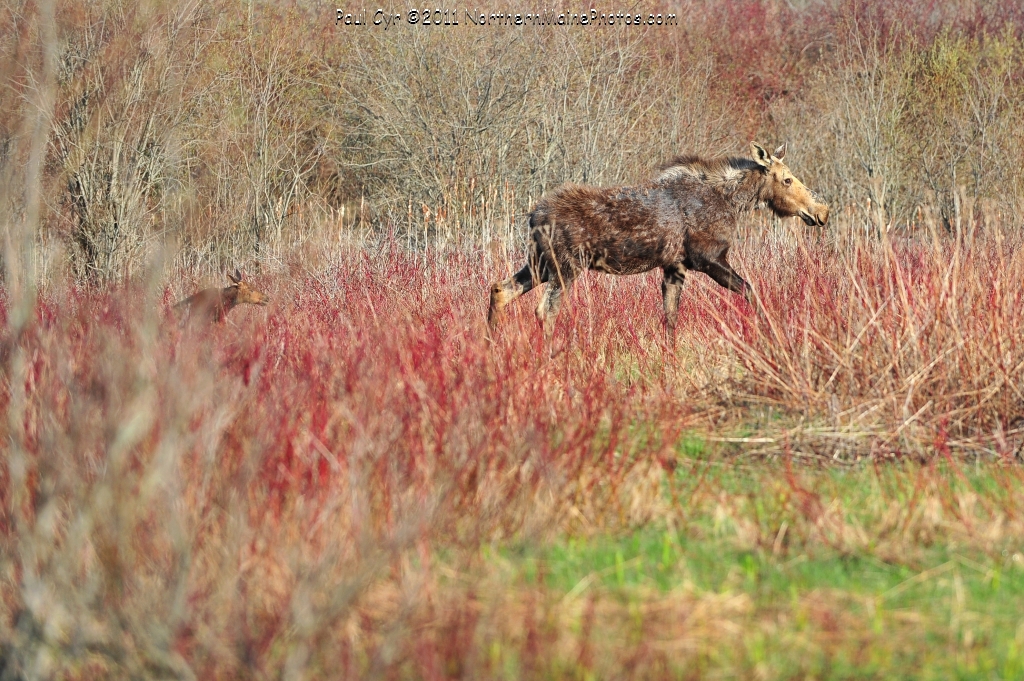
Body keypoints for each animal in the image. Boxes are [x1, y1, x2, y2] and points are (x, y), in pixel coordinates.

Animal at [483, 141, 827, 337]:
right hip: (565, 266)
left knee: (500, 289)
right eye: (787, 179)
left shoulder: (675, 266)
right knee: (545, 311)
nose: (820, 211)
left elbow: (670, 318)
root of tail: (533, 217)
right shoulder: (708, 258)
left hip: (539, 263)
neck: (733, 202)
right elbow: (751, 291)